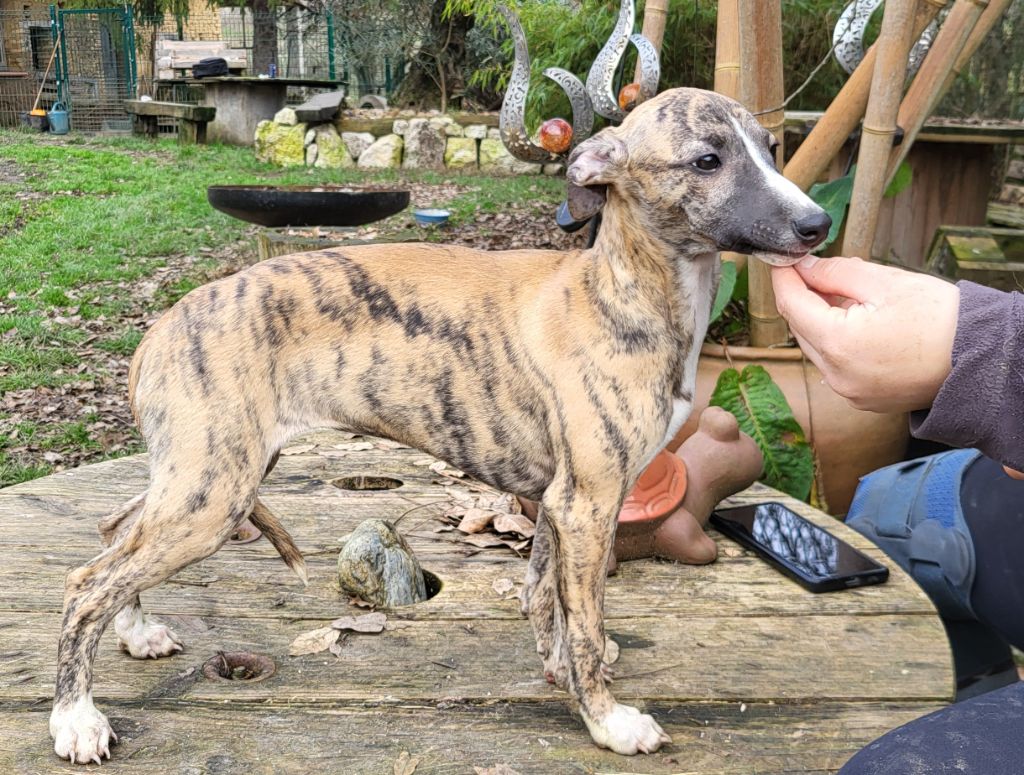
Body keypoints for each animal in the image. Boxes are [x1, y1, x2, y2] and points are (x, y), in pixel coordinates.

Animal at [49, 87, 829, 763]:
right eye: (707, 160)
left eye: (771, 147)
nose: (817, 226)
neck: (619, 291)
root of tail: (159, 330)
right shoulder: (589, 503)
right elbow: (584, 624)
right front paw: (607, 719)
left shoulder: (557, 502)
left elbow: (545, 600)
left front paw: (559, 675)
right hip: (212, 495)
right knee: (86, 583)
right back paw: (76, 717)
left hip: (203, 474)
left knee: (113, 529)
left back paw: (138, 632)